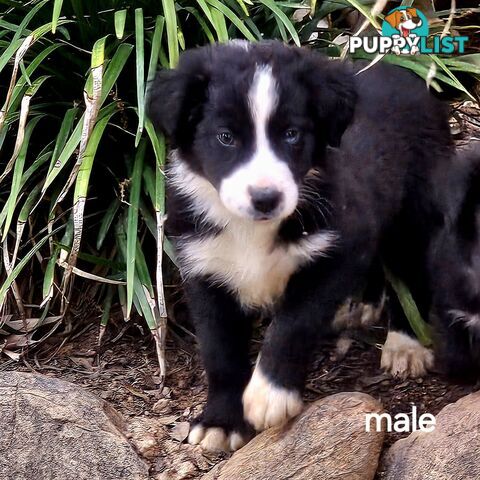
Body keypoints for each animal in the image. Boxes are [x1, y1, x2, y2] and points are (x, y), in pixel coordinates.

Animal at [149, 40, 454, 450]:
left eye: (292, 134)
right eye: (225, 137)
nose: (266, 198)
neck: (252, 229)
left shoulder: (339, 247)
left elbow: (293, 324)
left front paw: (270, 394)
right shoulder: (205, 268)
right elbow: (218, 349)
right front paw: (221, 421)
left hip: (416, 212)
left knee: (412, 271)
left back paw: (405, 343)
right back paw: (360, 307)